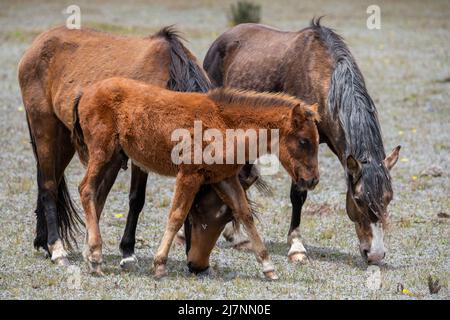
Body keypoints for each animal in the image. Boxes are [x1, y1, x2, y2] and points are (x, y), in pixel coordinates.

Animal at [18, 25, 212, 266]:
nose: (197, 265)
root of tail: (37, 44)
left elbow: (134, 200)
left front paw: (123, 250)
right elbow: (135, 198)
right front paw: (125, 251)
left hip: (64, 137)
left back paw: (44, 242)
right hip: (44, 127)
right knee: (48, 187)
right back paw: (57, 248)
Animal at [71, 77, 320, 278]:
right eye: (304, 141)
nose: (313, 181)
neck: (225, 123)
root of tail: (86, 92)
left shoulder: (225, 179)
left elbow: (245, 215)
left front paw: (268, 267)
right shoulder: (189, 175)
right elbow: (177, 215)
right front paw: (159, 265)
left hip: (113, 158)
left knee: (97, 196)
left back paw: (89, 255)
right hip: (102, 152)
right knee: (86, 190)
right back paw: (95, 256)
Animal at [204, 18, 400, 266]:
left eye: (388, 198)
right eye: (358, 199)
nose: (375, 254)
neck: (320, 77)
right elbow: (298, 194)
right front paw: (296, 247)